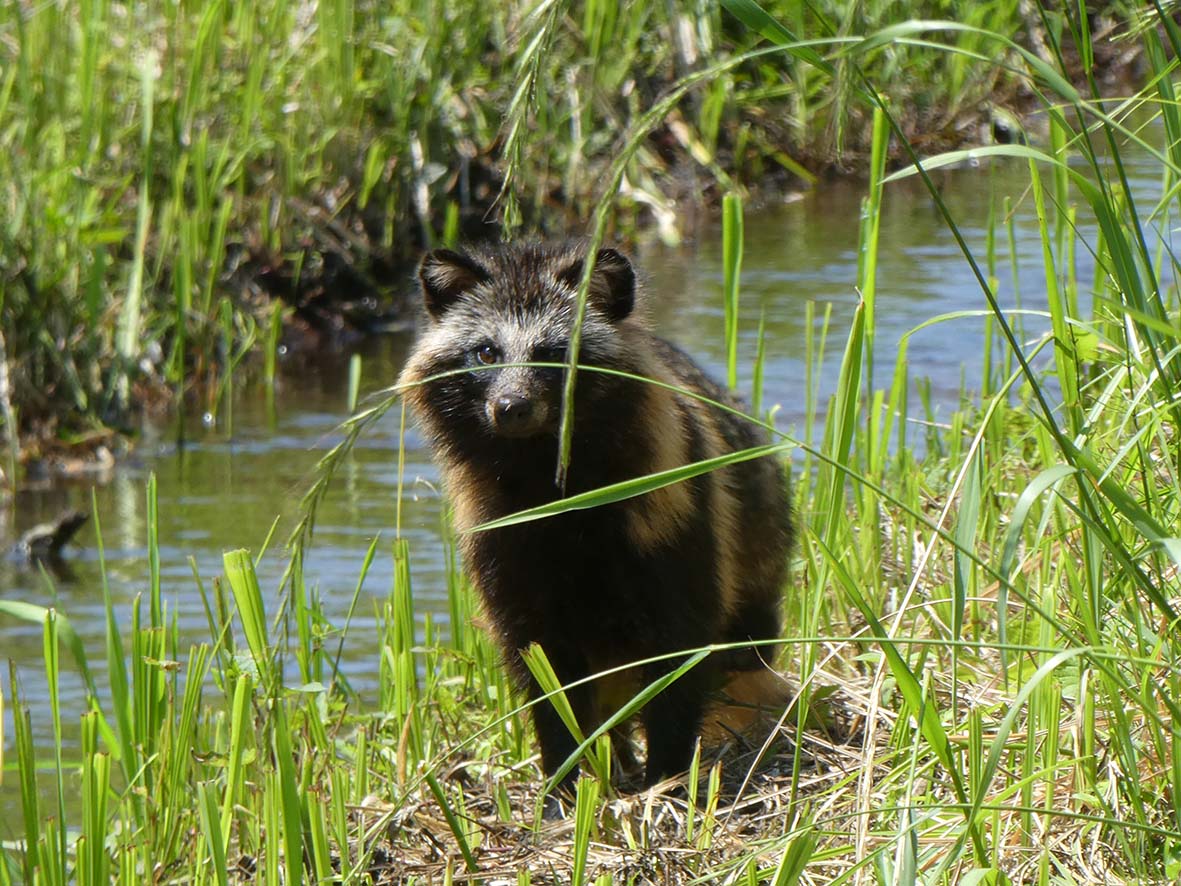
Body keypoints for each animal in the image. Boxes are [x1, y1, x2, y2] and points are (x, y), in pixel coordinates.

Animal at [399, 240, 793, 789]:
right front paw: (560, 781)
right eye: (486, 352)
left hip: (758, 546)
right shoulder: (503, 548)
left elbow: (681, 651)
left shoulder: (676, 519)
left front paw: (666, 774)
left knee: (743, 650)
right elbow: (543, 671)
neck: (542, 467)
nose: (511, 407)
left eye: (553, 353)